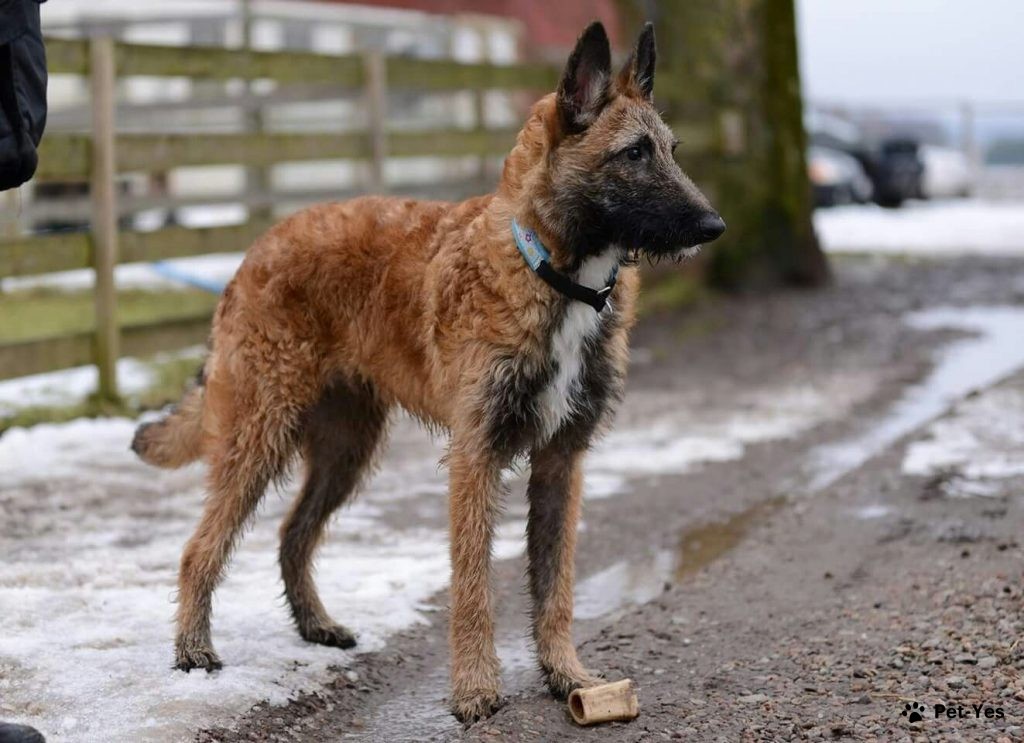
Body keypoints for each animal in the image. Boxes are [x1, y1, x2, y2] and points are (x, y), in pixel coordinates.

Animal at [132, 21, 724, 720]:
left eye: (672, 150)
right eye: (634, 153)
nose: (714, 225)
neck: (550, 268)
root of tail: (255, 251)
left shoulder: (561, 460)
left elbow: (556, 585)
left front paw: (567, 676)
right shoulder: (476, 455)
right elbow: (472, 584)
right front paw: (474, 688)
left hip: (345, 451)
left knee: (292, 536)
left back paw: (315, 625)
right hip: (260, 434)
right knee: (200, 548)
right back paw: (193, 650)